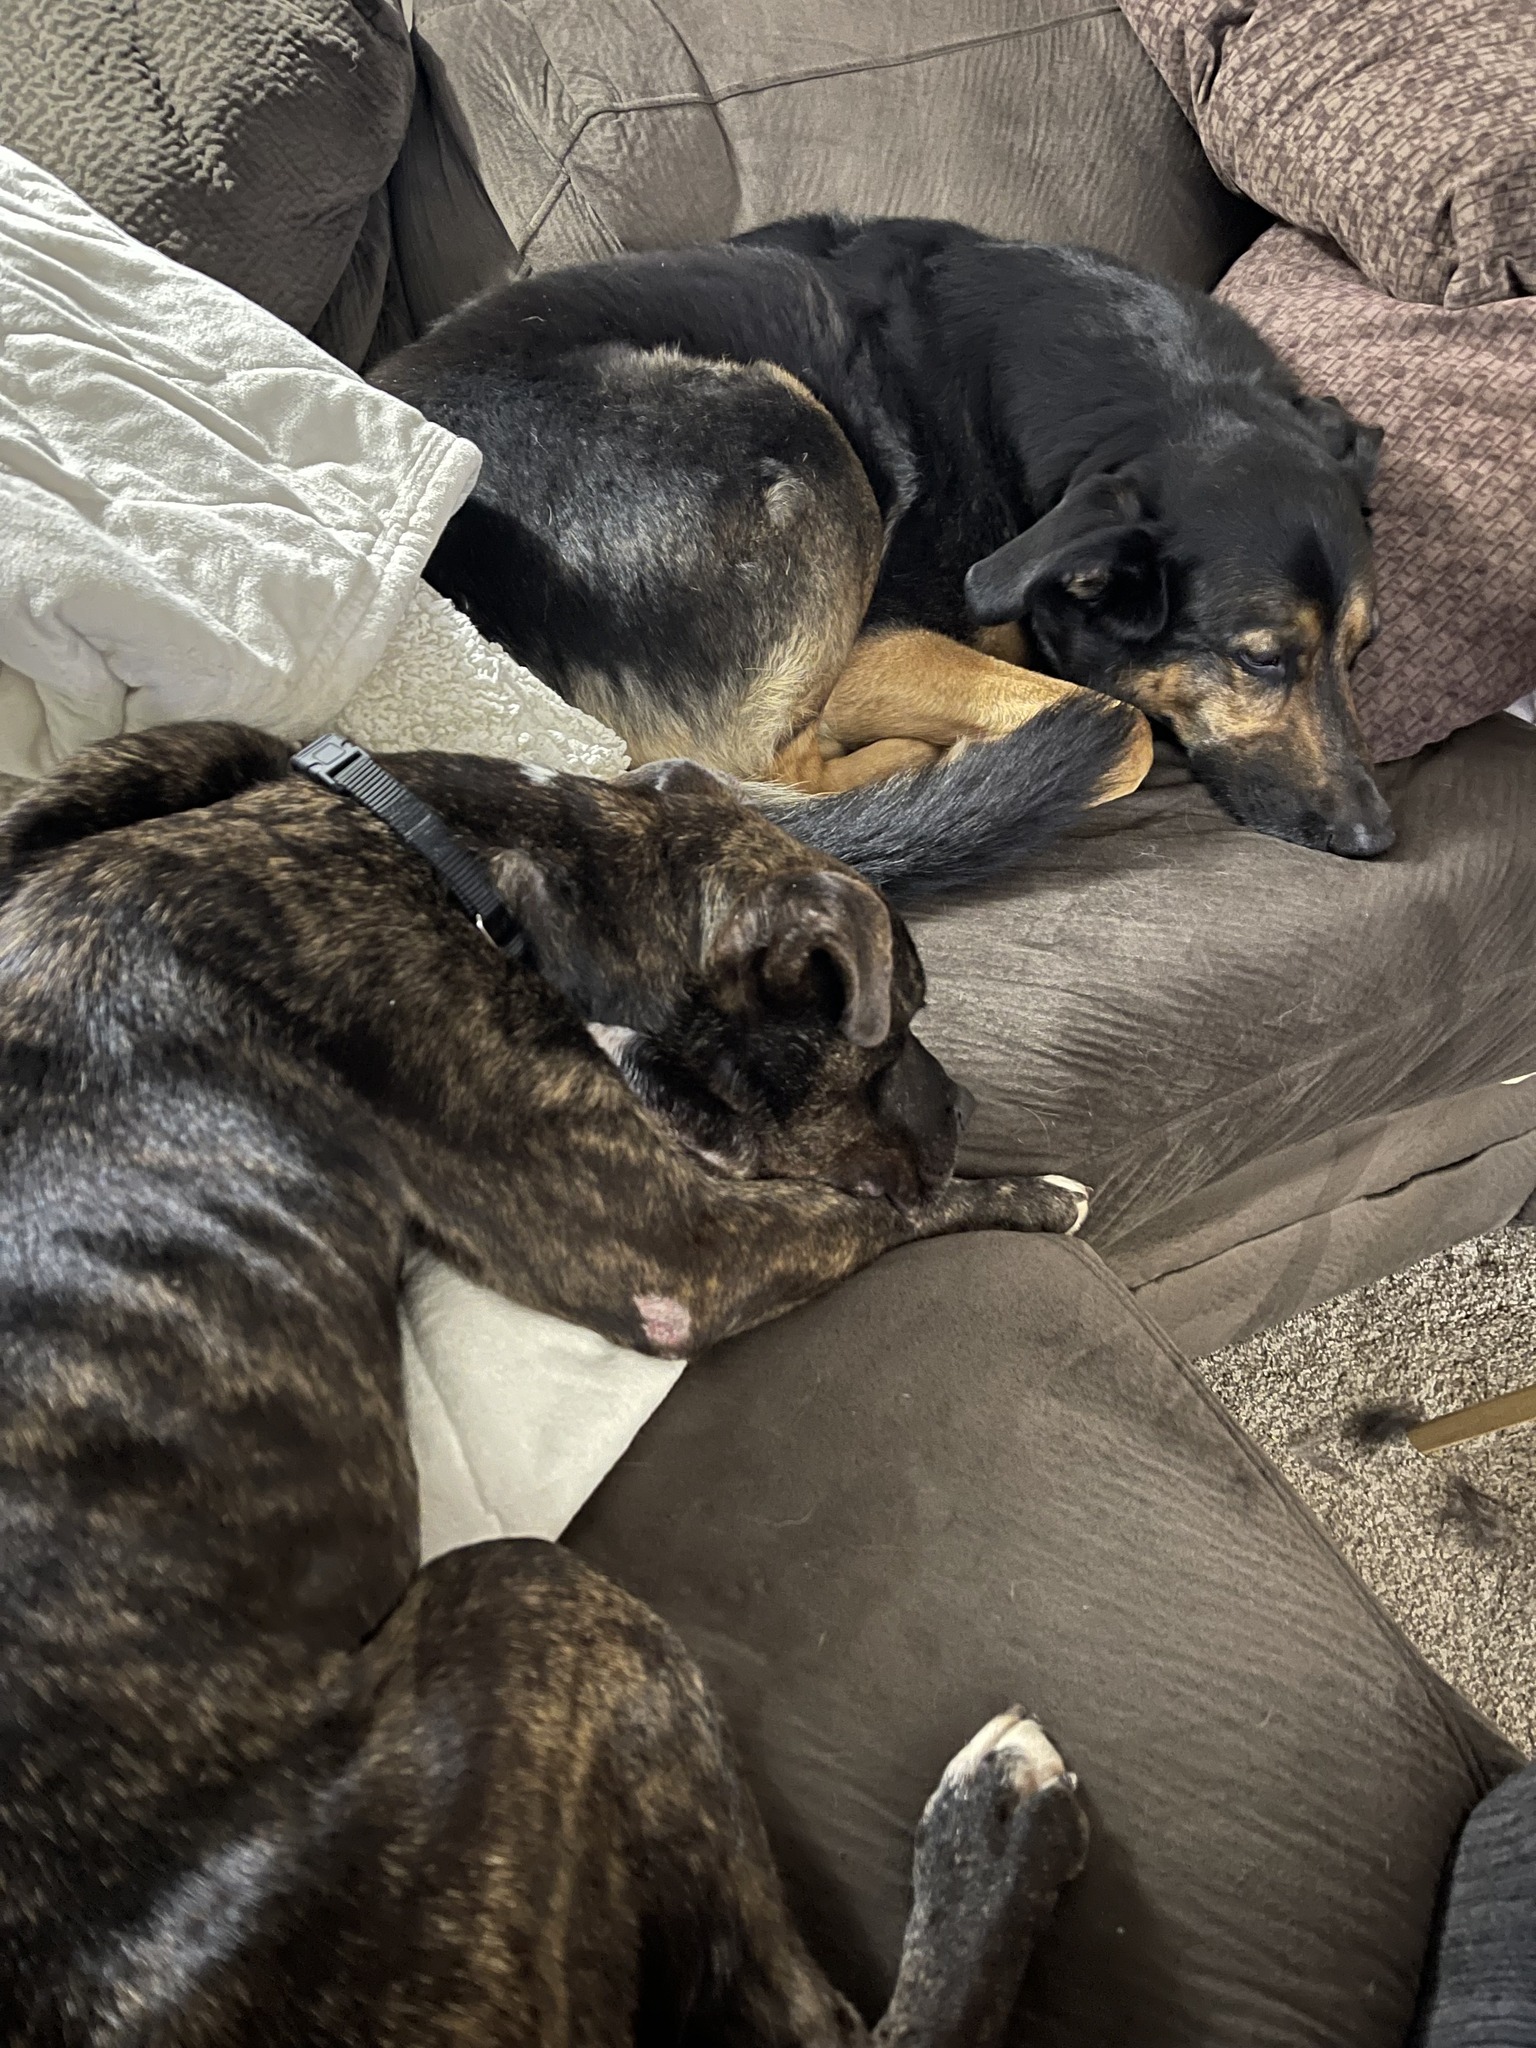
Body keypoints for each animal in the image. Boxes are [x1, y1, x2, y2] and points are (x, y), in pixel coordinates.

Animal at [0, 729, 1097, 2048]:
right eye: (900, 1019)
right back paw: (1002, 1824)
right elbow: (878, 1208)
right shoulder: (680, 1256)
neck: (466, 859)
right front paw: (1032, 1189)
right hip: (537, 1603)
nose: (969, 1107)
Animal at [382, 211, 1392, 892]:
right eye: (1260, 659)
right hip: (796, 429)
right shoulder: (880, 644)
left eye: (1360, 653)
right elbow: (1127, 729)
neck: (1141, 402)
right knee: (769, 769)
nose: (1374, 840)